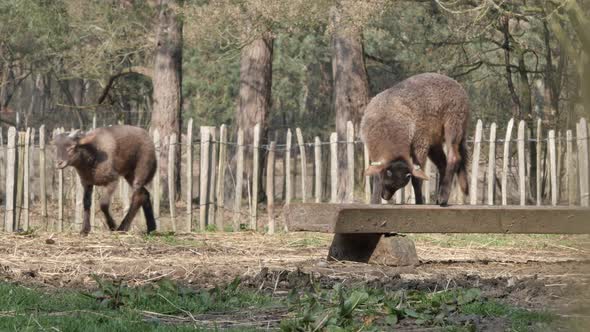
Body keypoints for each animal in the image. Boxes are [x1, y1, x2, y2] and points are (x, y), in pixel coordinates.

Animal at [360, 72, 472, 205]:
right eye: (388, 181)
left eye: (397, 185)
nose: (385, 197)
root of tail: (457, 84)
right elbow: (376, 176)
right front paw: (374, 202)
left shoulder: (420, 144)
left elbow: (417, 179)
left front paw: (419, 202)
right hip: (435, 141)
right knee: (443, 164)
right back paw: (439, 198)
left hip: (454, 123)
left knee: (453, 157)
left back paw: (443, 197)